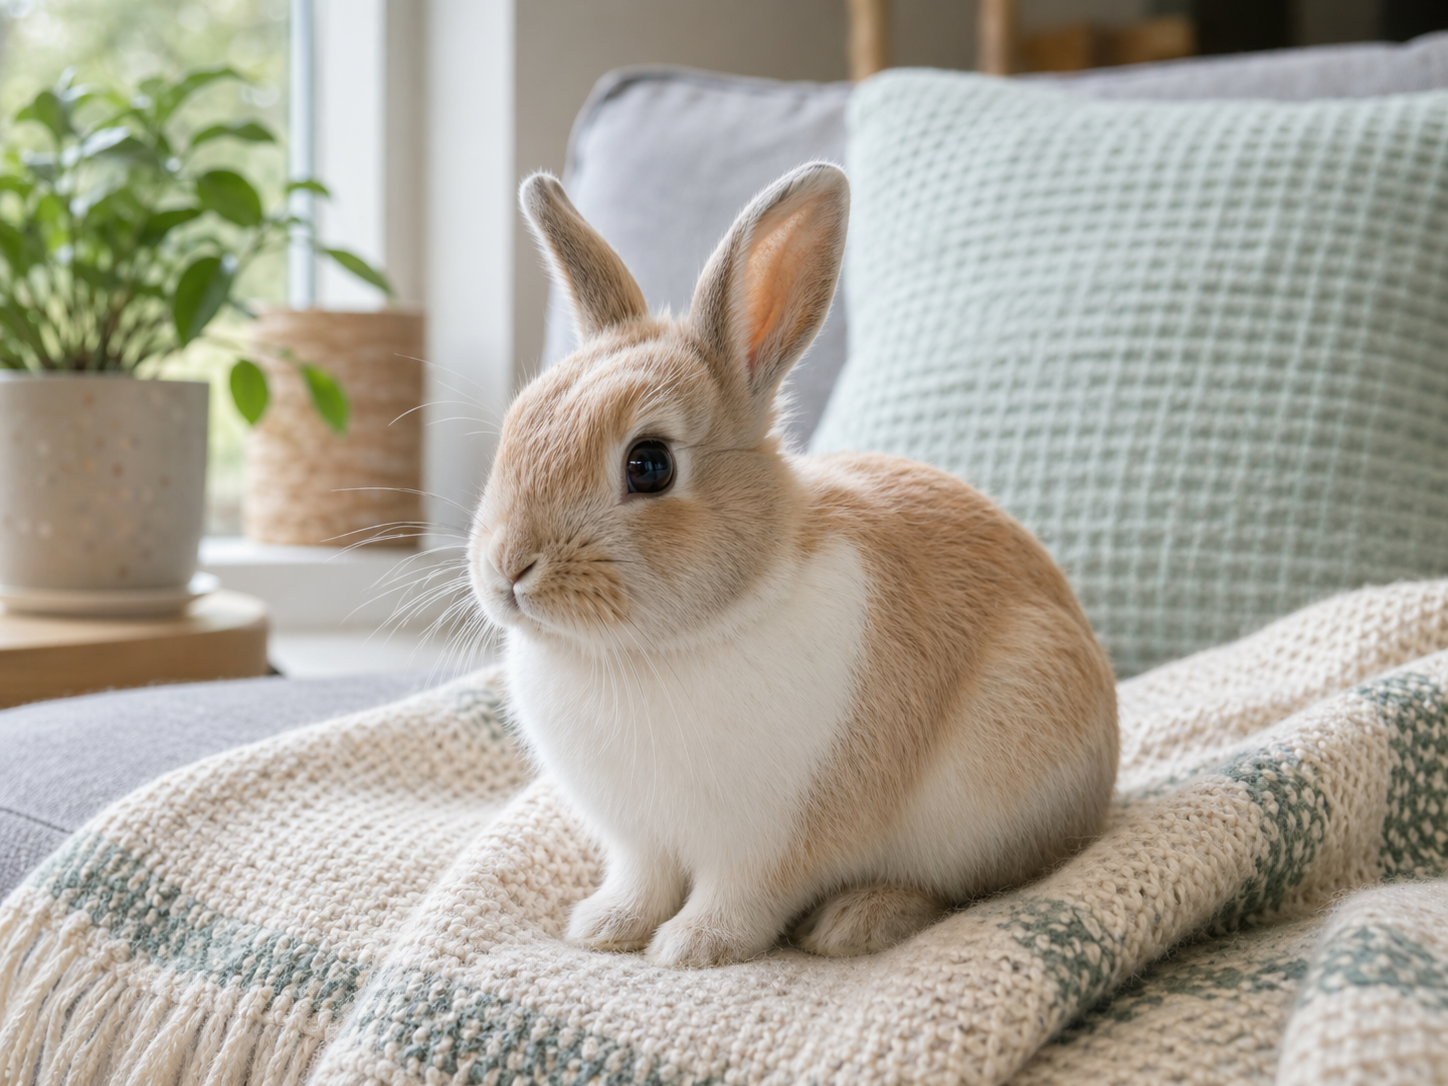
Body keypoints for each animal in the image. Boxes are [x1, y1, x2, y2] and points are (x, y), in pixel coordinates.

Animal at [468, 161, 1119, 968]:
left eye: (649, 465)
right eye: (518, 422)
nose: (507, 569)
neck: (662, 648)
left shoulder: (770, 842)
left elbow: (742, 897)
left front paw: (692, 948)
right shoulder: (639, 841)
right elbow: (641, 882)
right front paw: (605, 928)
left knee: (963, 886)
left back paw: (855, 922)